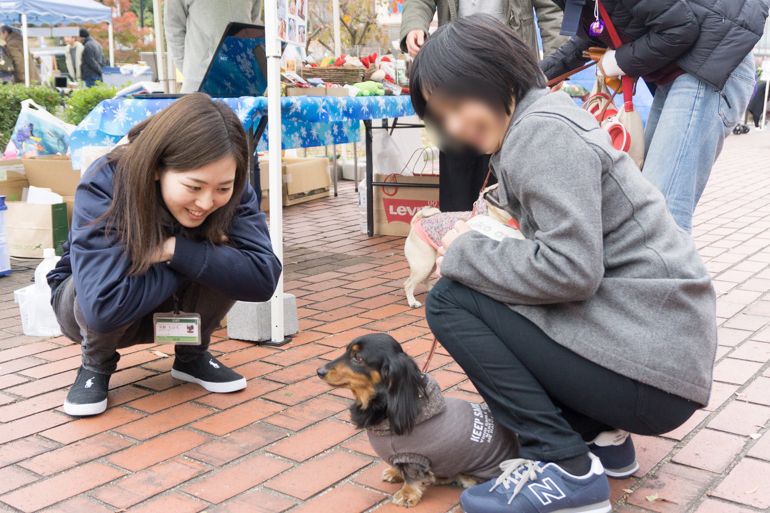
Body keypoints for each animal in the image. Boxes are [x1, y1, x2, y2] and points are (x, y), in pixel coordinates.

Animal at [317, 334, 519, 507]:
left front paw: (407, 494)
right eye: (347, 351)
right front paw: (395, 473)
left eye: (357, 357)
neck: (385, 405)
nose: (319, 371)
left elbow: (412, 477)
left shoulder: (414, 457)